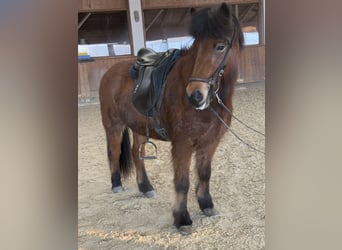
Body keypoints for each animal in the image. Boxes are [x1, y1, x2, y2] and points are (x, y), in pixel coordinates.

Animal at [98, 2, 243, 233]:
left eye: (220, 46)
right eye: (197, 47)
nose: (195, 95)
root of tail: (109, 73)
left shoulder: (210, 142)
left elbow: (205, 173)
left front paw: (206, 205)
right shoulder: (183, 143)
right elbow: (182, 181)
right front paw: (182, 219)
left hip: (139, 127)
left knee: (137, 154)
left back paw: (145, 187)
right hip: (113, 125)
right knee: (113, 153)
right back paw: (116, 185)